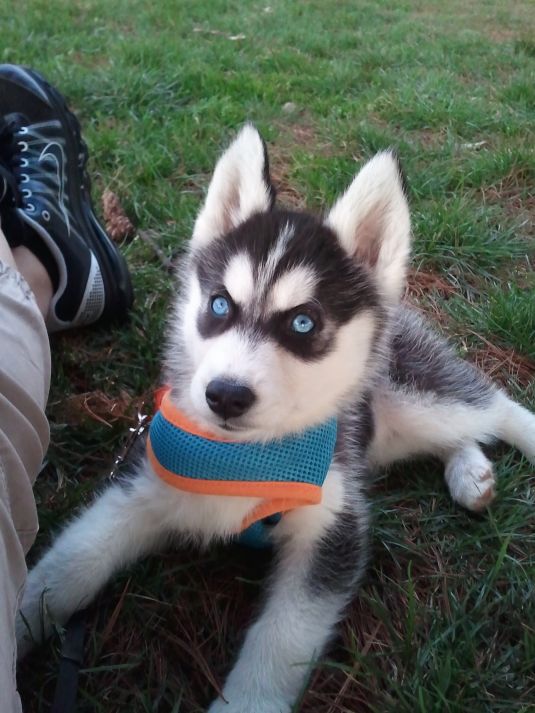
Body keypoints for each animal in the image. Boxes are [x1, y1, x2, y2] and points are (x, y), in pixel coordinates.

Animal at [16, 125, 535, 708]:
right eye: (219, 305)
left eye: (303, 323)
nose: (225, 395)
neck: (244, 457)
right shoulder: (139, 488)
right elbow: (67, 569)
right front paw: (17, 624)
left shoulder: (333, 526)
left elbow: (281, 640)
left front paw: (247, 700)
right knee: (459, 434)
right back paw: (472, 472)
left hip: (414, 392)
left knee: (493, 407)